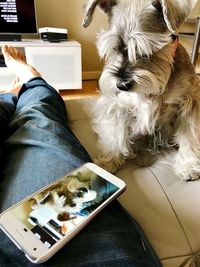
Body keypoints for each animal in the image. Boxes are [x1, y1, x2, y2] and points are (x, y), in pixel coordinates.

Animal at [82, 0, 199, 181]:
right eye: (114, 48)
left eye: (144, 50)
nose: (122, 86)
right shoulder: (118, 106)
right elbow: (115, 134)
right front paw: (109, 161)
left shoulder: (189, 102)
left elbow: (190, 135)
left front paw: (188, 165)